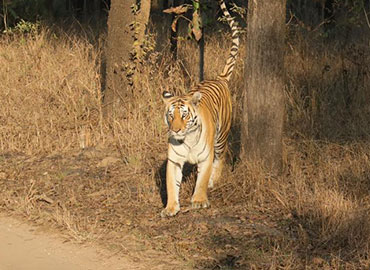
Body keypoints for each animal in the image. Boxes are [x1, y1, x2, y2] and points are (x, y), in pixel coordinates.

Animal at [160, 0, 238, 217]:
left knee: (222, 157)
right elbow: (171, 185)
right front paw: (170, 208)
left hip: (221, 138)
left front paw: (199, 200)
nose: (176, 130)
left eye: (185, 116)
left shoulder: (206, 157)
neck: (187, 139)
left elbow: (201, 180)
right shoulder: (174, 161)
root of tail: (219, 78)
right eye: (171, 116)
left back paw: (214, 181)